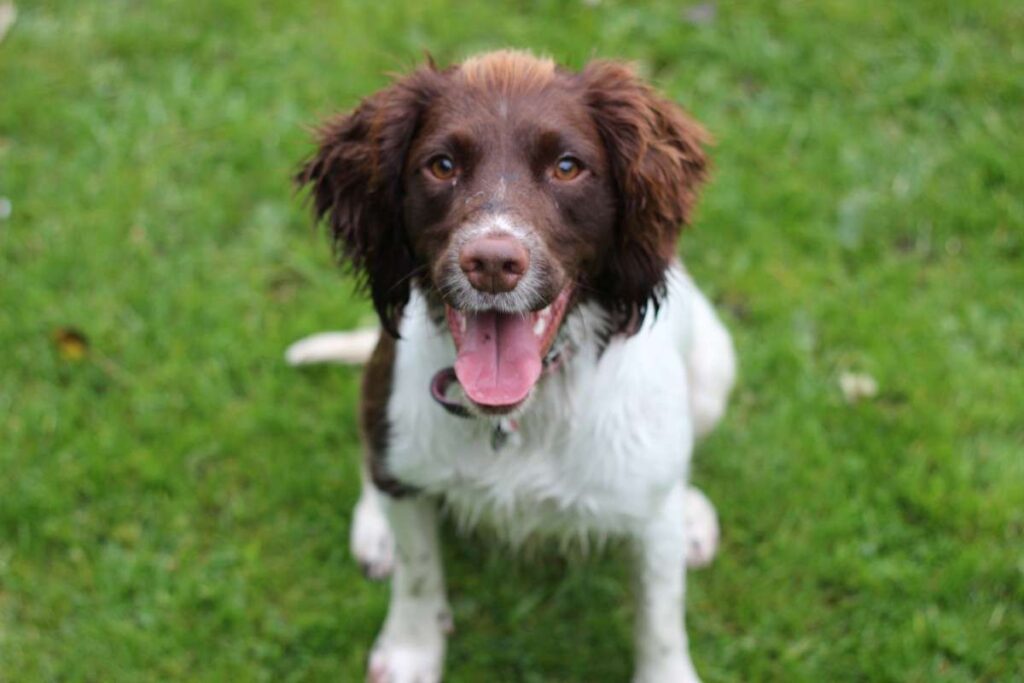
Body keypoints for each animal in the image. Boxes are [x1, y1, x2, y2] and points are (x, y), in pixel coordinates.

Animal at [288, 49, 737, 683]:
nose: (492, 263)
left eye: (568, 167)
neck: (518, 415)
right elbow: (418, 573)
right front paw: (410, 651)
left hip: (717, 364)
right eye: (442, 165)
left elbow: (660, 615)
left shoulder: (652, 525)